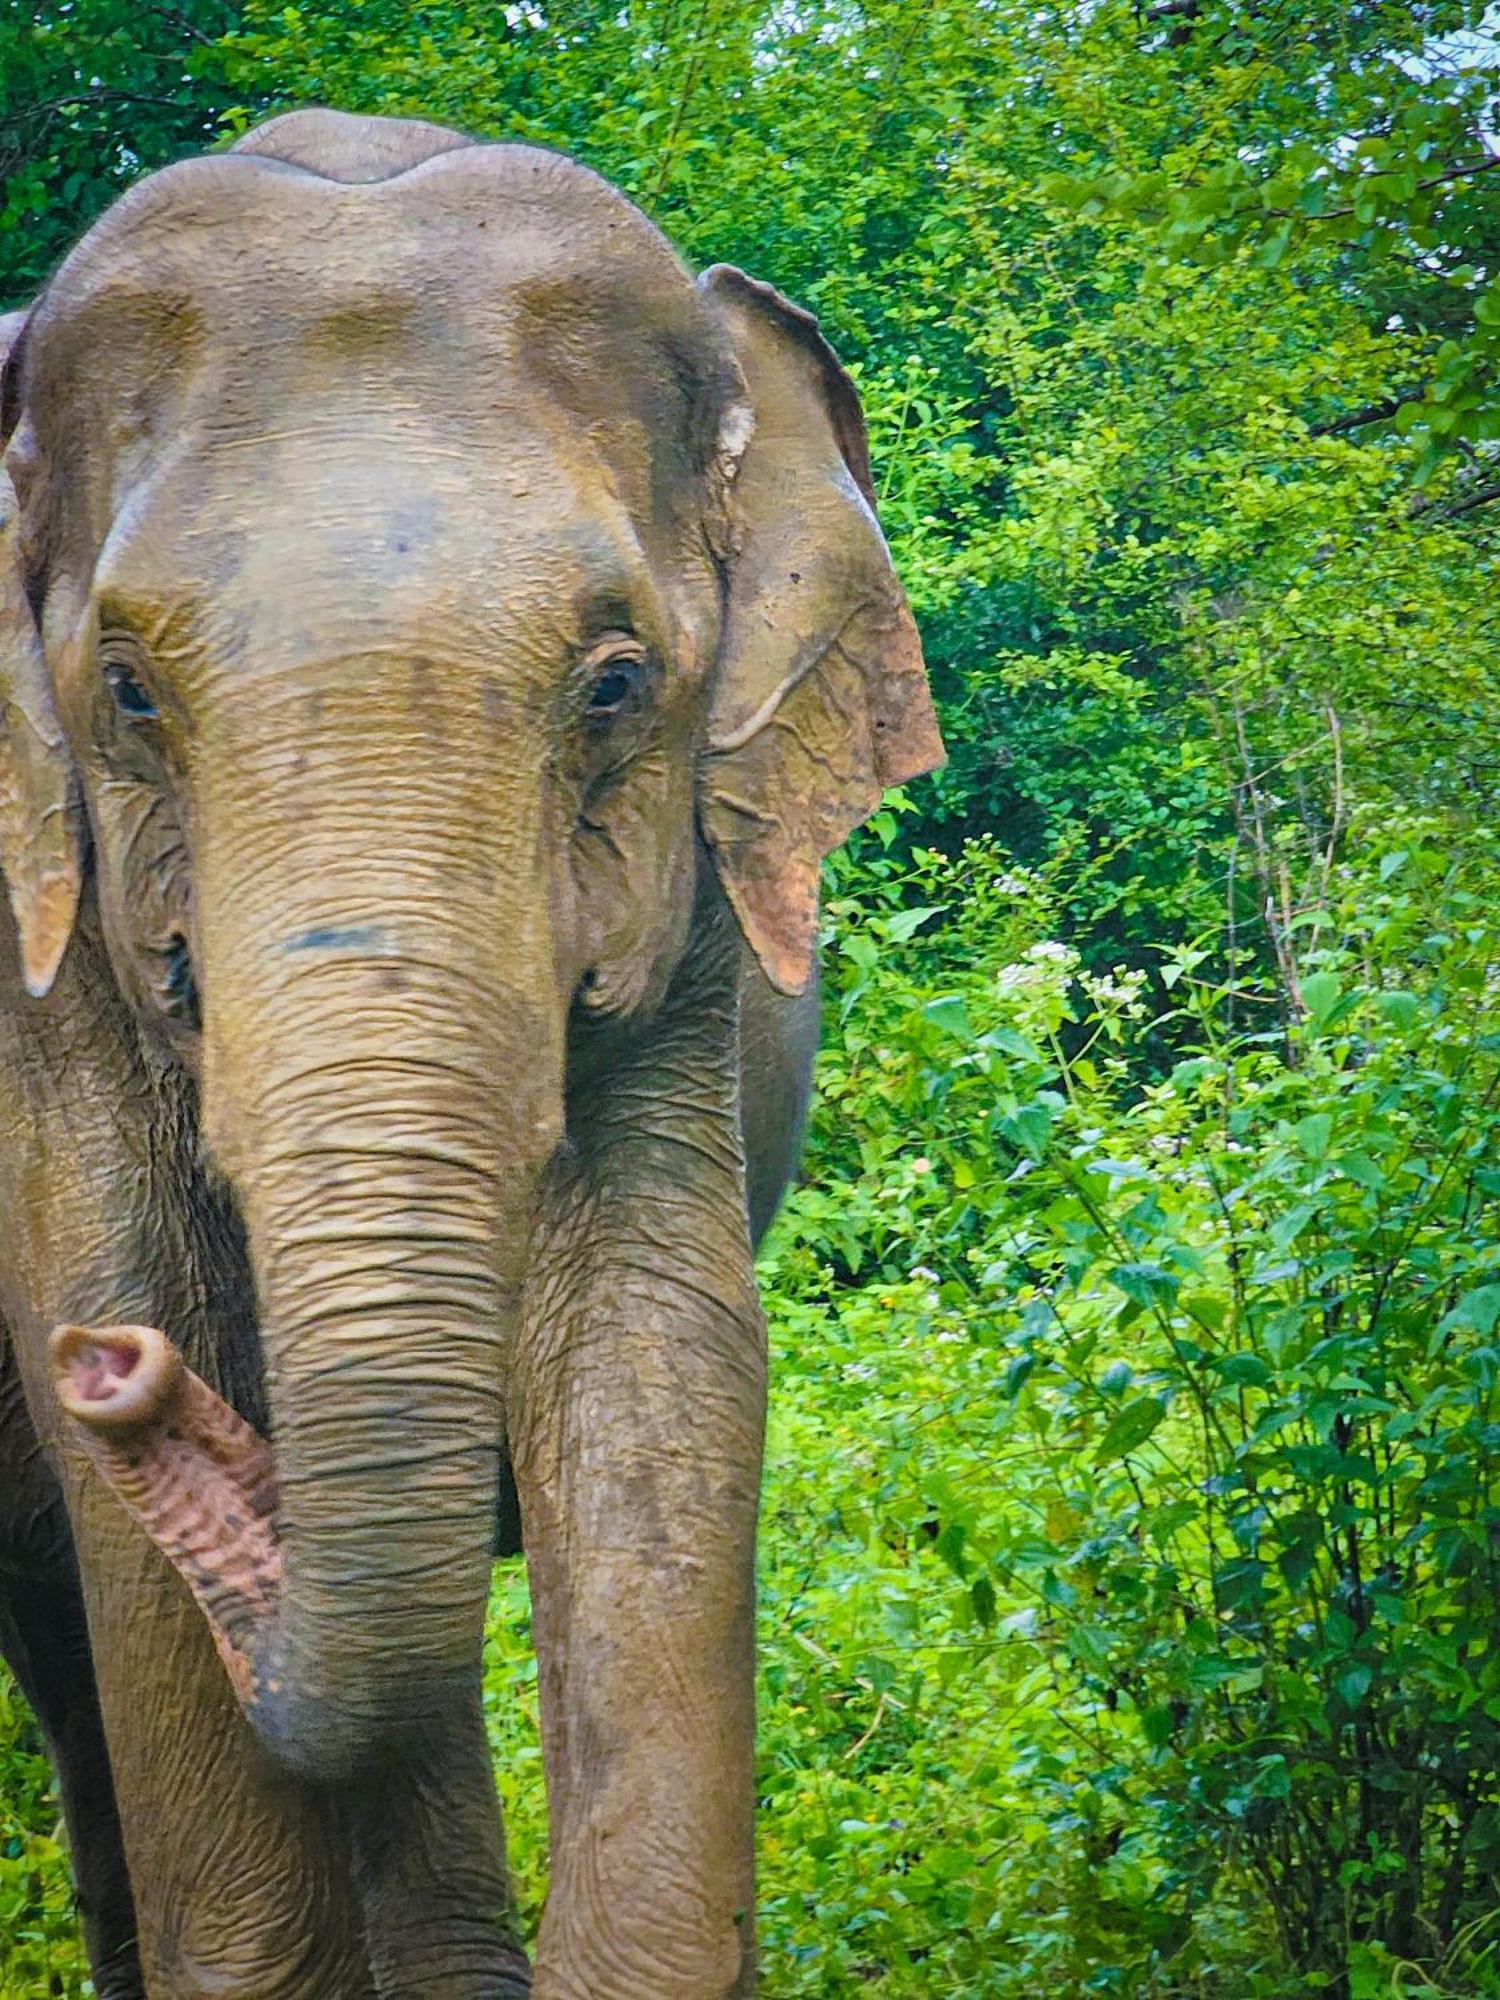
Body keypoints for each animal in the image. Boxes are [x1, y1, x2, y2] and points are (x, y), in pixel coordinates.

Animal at [0, 109, 940, 2000]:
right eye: (125, 692)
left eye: (615, 683)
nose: (112, 1370)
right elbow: (122, 1298)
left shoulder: (691, 916)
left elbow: (657, 1363)